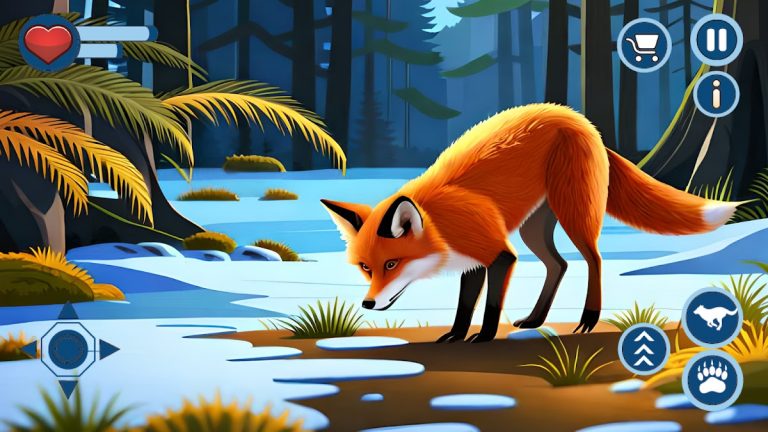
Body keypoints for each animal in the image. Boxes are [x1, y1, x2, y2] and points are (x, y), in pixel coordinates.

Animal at [321, 104, 743, 343]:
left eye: (392, 264)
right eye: (366, 267)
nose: (368, 302)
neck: (440, 221)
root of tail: (583, 120)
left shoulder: (497, 254)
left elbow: (490, 305)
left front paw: (484, 337)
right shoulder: (471, 261)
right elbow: (463, 306)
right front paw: (455, 335)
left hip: (572, 212)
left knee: (593, 260)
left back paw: (588, 319)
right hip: (533, 227)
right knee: (559, 264)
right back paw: (536, 319)